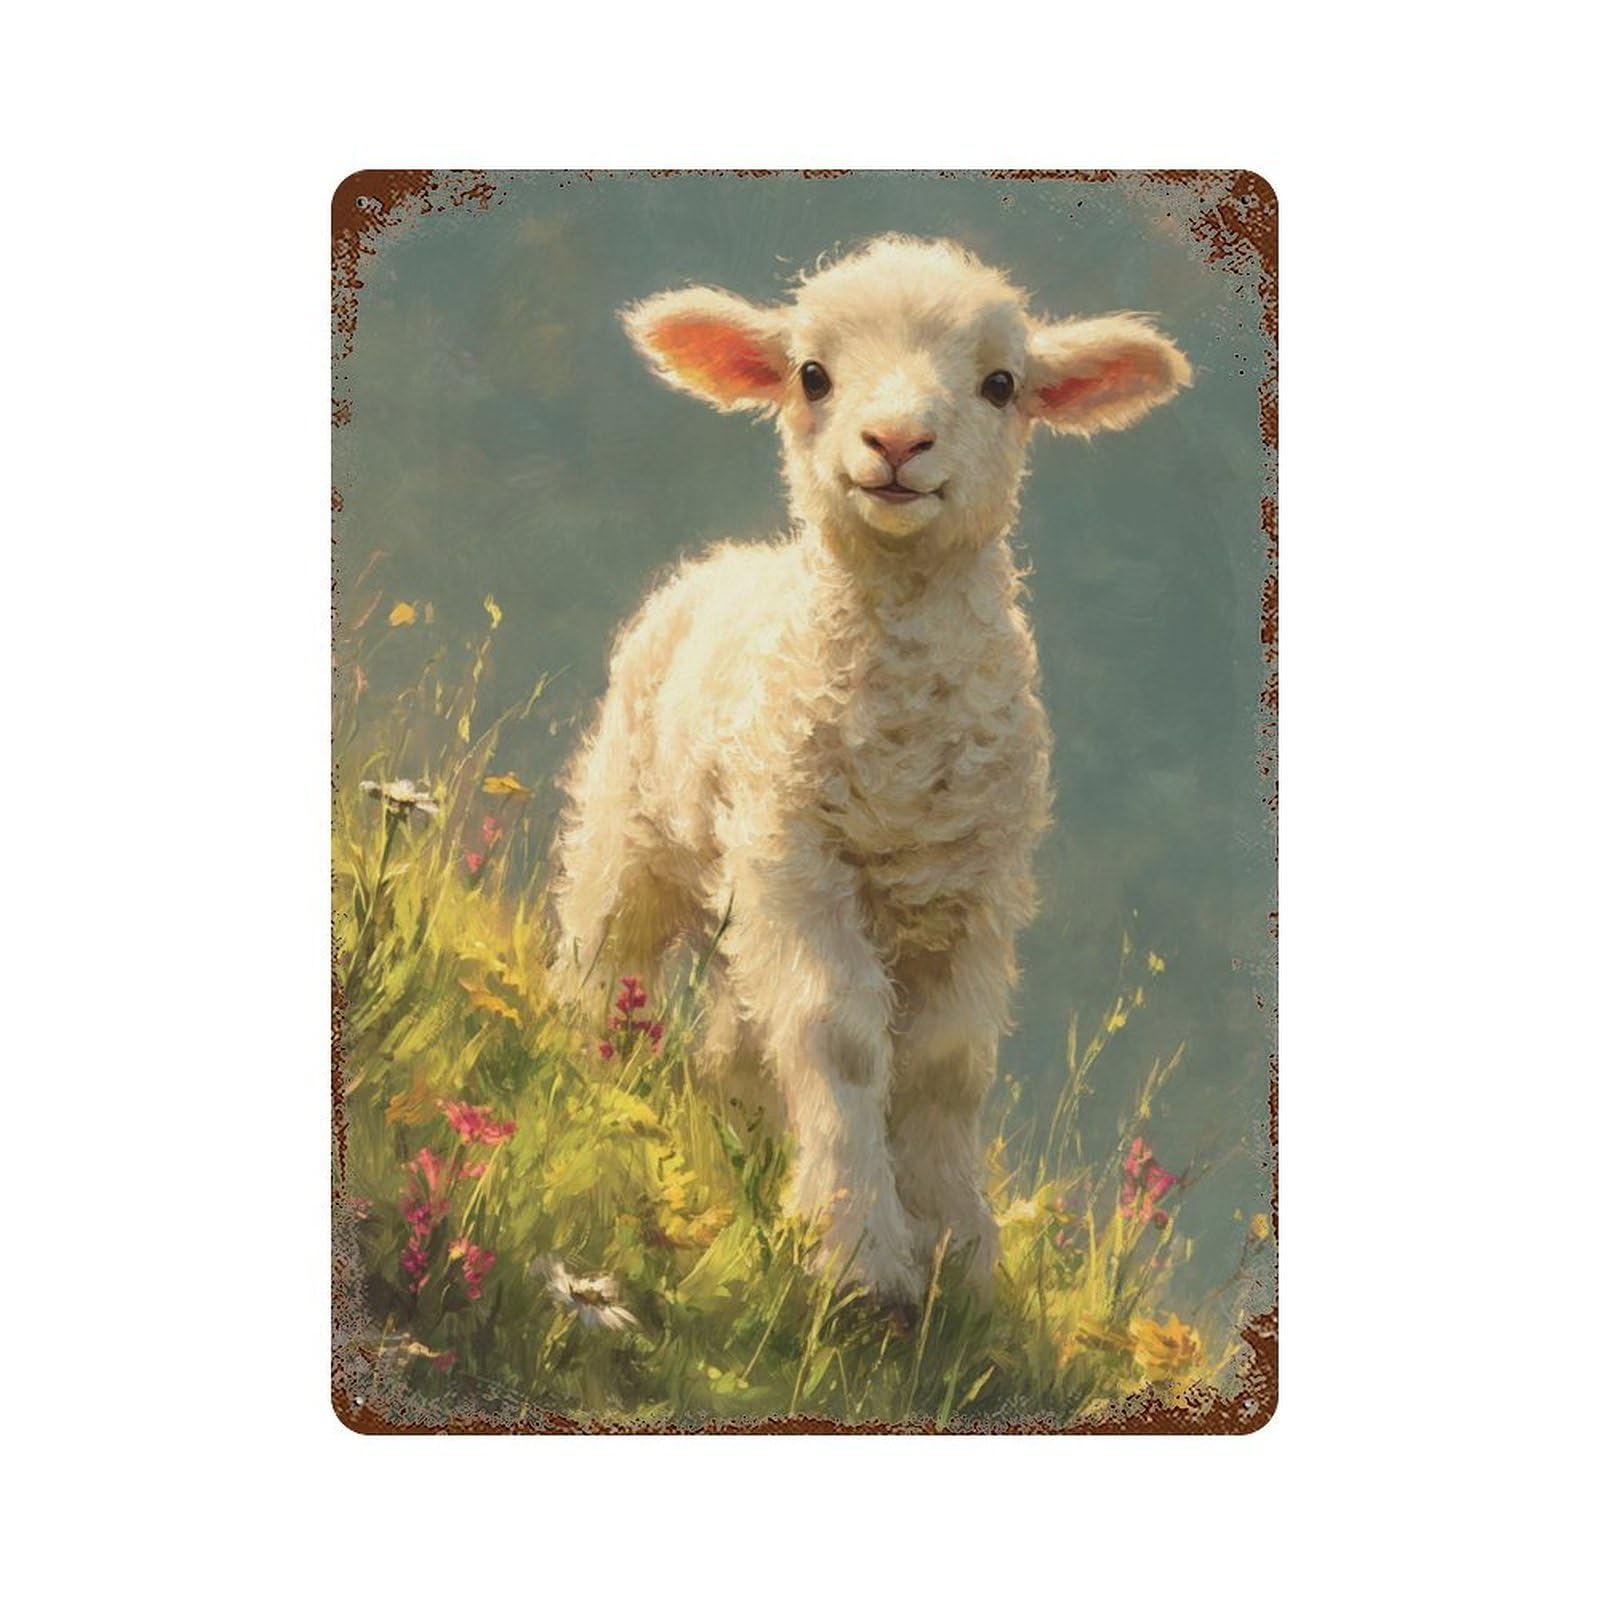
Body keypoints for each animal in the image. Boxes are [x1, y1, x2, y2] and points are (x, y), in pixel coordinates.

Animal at [554, 235, 1191, 1304]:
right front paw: (857, 1253)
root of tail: (725, 558)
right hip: (638, 830)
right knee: (606, 950)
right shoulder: (799, 861)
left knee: (738, 1029)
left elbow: (946, 1065)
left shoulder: (974, 891)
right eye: (812, 373)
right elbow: (838, 1039)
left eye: (1002, 383)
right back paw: (577, 1061)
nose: (896, 442)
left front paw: (961, 1255)